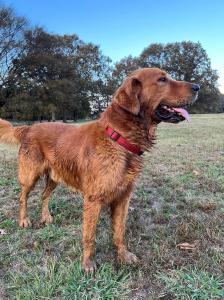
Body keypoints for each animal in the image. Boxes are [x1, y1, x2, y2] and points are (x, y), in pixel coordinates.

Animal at [0, 68, 200, 272]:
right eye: (162, 79)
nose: (197, 87)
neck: (119, 139)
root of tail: (29, 127)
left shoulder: (123, 198)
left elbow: (119, 232)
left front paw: (122, 256)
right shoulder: (93, 200)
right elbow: (89, 236)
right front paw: (88, 263)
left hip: (55, 177)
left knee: (44, 195)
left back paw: (46, 216)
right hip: (29, 176)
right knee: (22, 197)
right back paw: (24, 220)